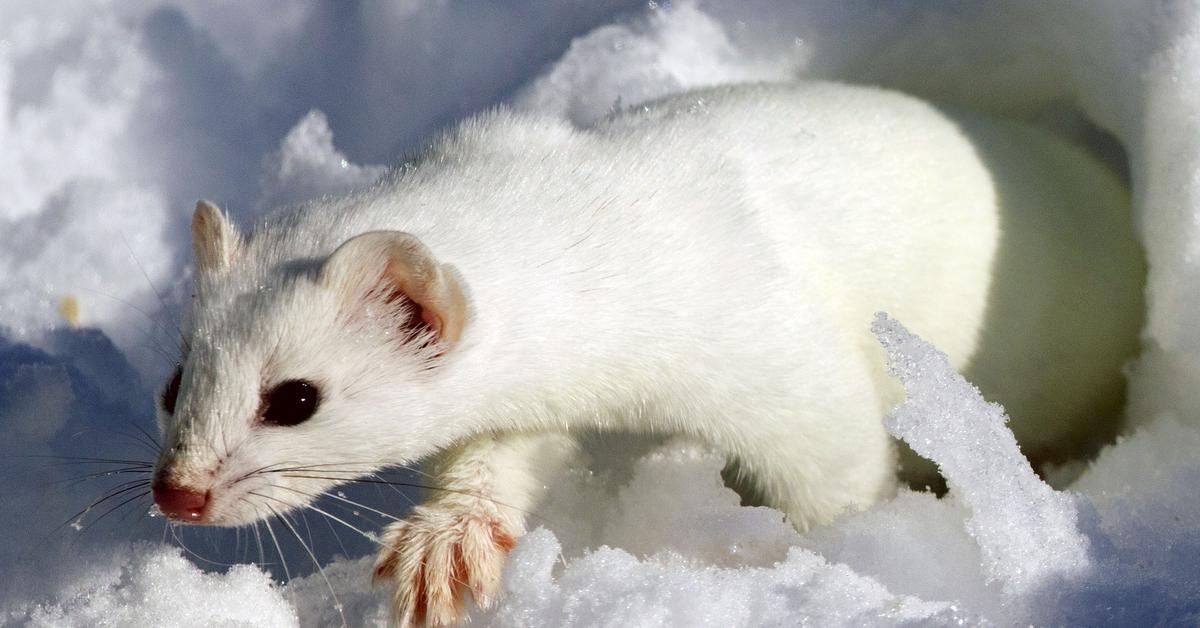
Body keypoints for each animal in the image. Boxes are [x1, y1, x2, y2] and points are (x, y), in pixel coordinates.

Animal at [152, 82, 1142, 624]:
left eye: (294, 397)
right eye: (173, 380)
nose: (176, 492)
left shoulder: (774, 341)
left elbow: (835, 459)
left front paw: (826, 553)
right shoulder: (541, 398)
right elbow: (504, 454)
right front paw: (447, 546)